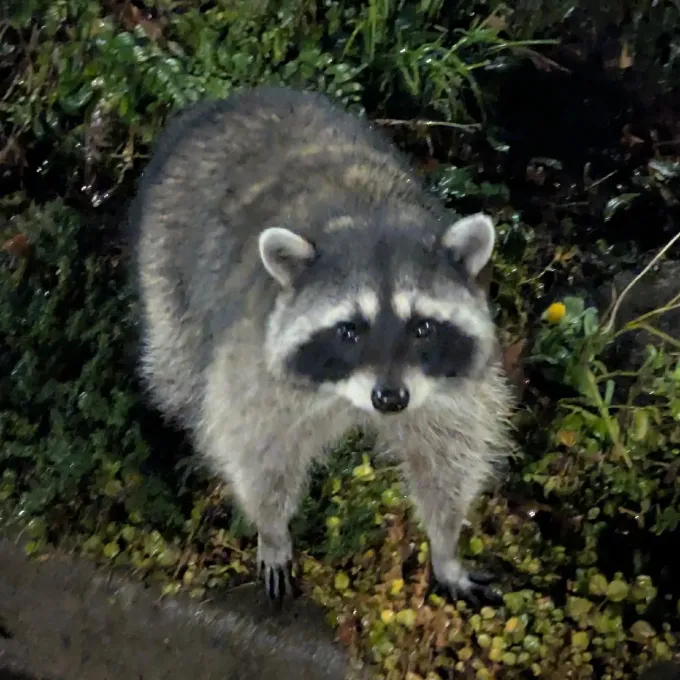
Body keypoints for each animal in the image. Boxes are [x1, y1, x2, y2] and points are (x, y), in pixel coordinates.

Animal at [129, 85, 516, 605]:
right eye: (349, 330)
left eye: (422, 328)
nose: (389, 399)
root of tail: (234, 99)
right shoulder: (253, 361)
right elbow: (253, 445)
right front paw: (272, 531)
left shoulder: (447, 385)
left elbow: (450, 453)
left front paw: (446, 545)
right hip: (167, 262)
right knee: (176, 367)